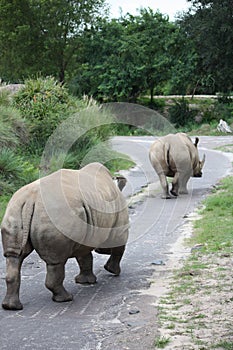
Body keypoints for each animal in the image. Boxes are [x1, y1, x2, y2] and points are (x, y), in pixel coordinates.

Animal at [0, 161, 128, 308]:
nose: (101, 250)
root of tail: (30, 199)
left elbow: (84, 256)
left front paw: (85, 281)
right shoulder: (119, 226)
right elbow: (118, 247)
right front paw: (113, 271)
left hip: (15, 210)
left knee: (14, 257)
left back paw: (11, 306)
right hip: (56, 213)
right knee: (56, 261)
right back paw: (66, 298)